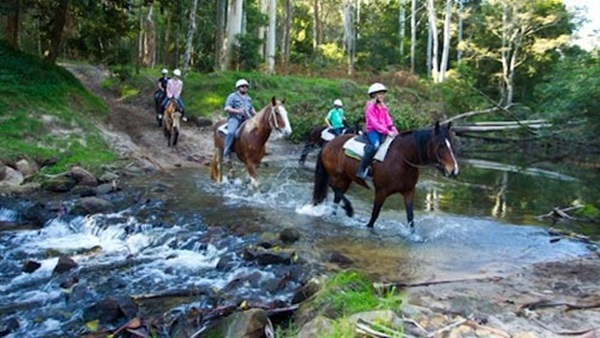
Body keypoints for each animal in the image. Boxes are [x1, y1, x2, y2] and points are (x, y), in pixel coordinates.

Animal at [312, 123, 458, 231]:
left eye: (452, 143)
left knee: (337, 197)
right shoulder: (381, 192)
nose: (454, 170)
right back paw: (349, 209)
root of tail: (329, 144)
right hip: (338, 175)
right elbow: (373, 217)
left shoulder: (409, 191)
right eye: (441, 145)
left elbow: (410, 218)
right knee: (333, 187)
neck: (401, 158)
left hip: (346, 178)